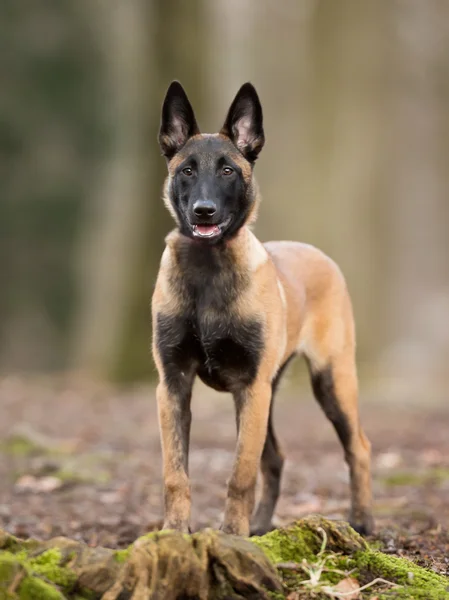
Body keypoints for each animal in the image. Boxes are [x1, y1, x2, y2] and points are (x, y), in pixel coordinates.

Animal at [152, 81, 372, 540]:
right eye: (186, 170)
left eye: (228, 171)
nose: (203, 210)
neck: (207, 273)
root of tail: (317, 253)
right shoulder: (173, 385)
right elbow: (175, 473)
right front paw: (175, 532)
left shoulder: (250, 387)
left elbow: (240, 473)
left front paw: (231, 535)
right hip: (269, 397)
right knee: (276, 457)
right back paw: (262, 524)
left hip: (330, 381)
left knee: (358, 447)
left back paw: (362, 520)